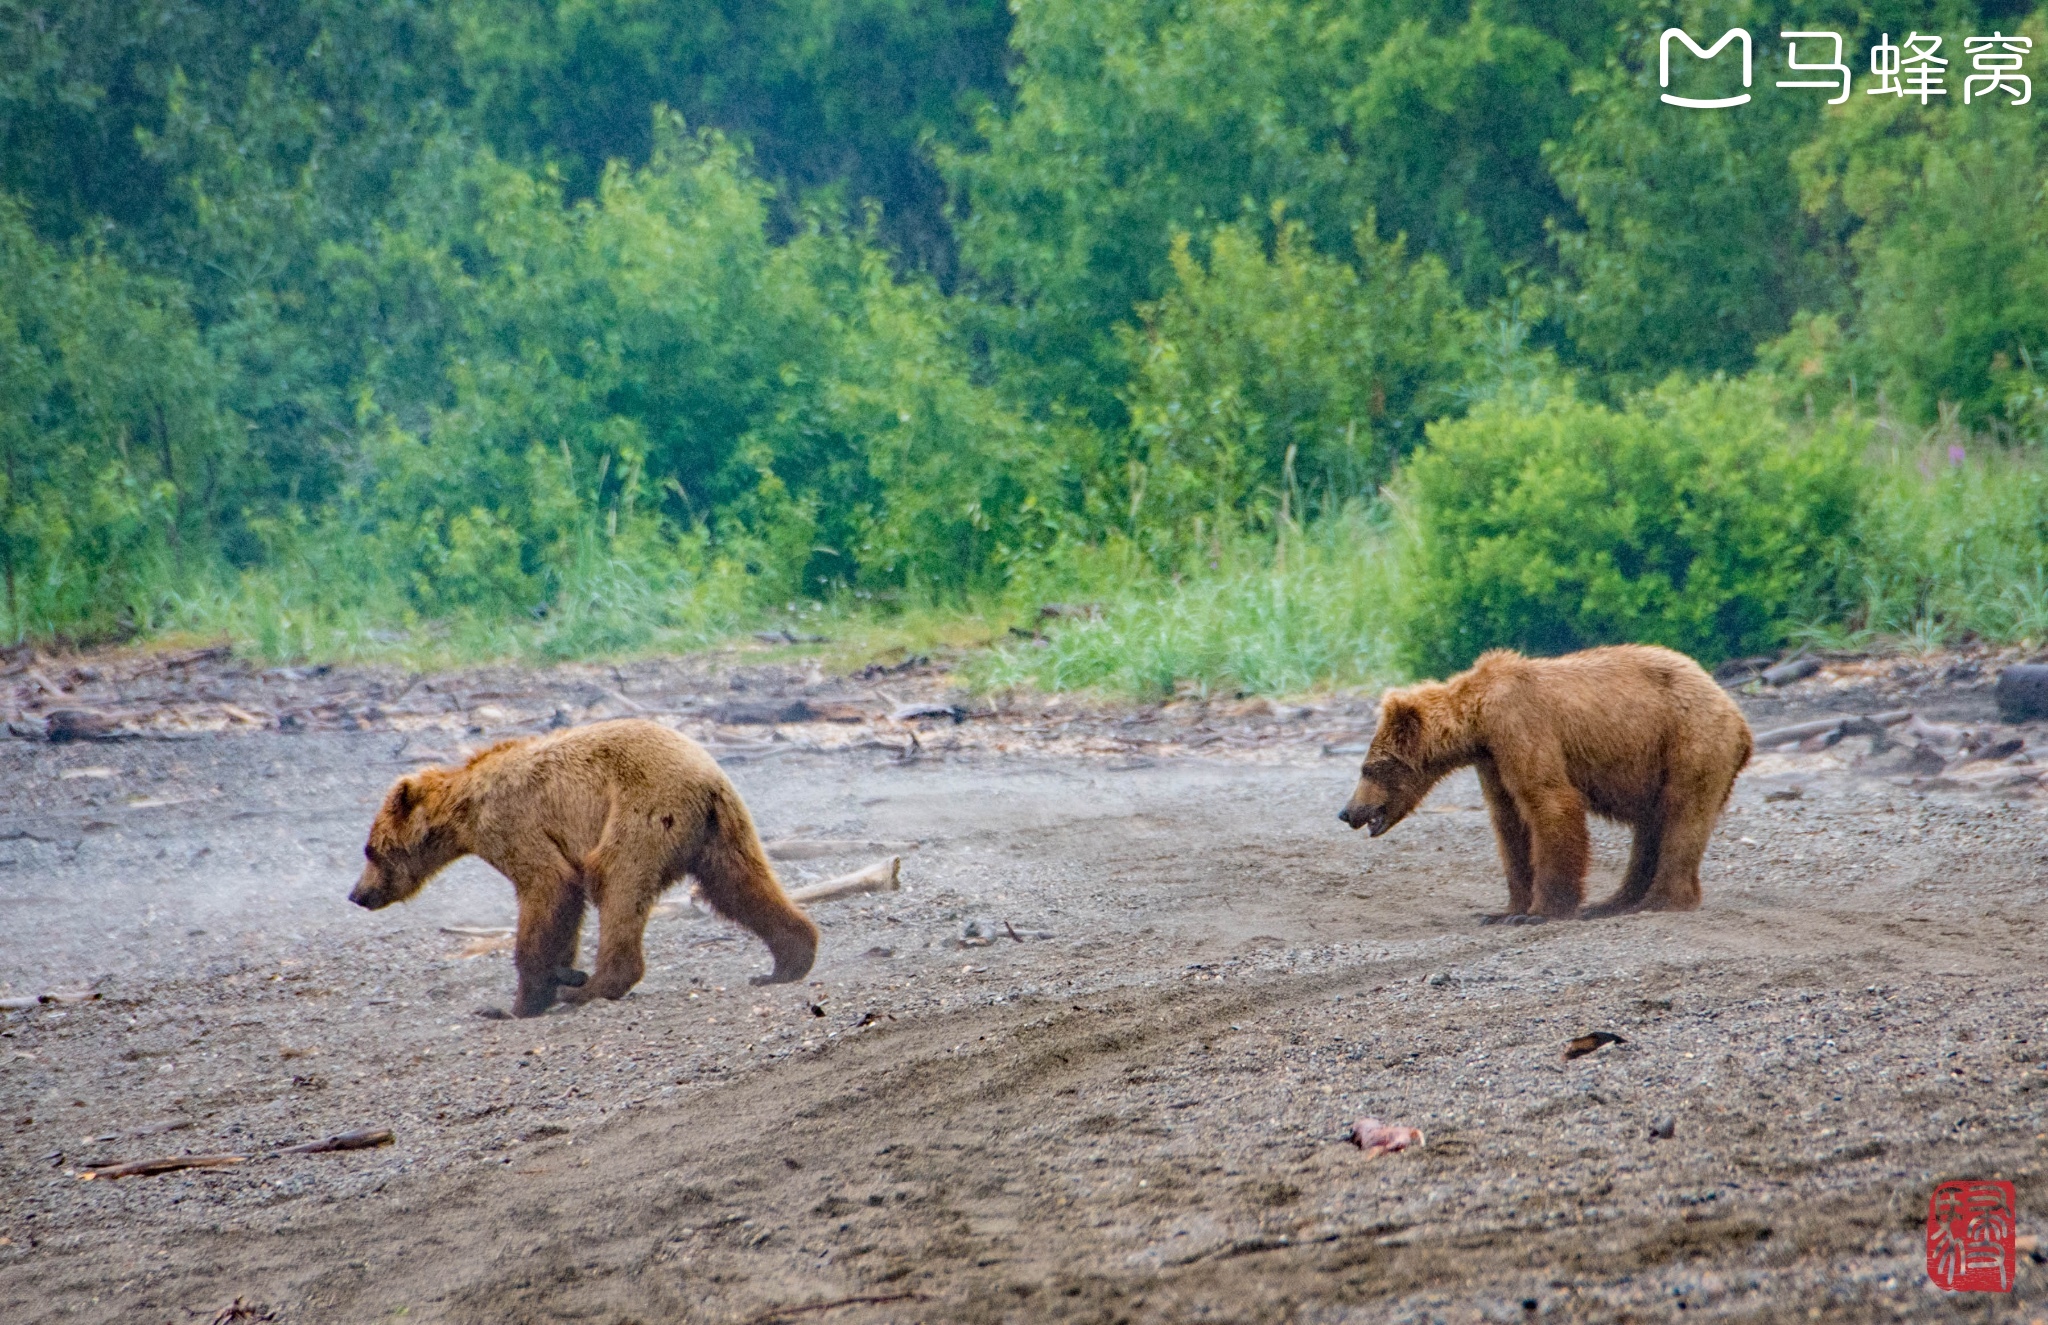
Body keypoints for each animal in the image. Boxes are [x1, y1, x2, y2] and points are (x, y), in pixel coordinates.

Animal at [356, 720, 819, 1019]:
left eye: (370, 849)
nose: (357, 894)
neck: (464, 813)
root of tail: (706, 776)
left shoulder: (514, 825)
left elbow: (548, 886)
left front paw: (518, 1003)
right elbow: (565, 905)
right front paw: (557, 973)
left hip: (643, 810)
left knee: (617, 881)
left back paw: (592, 987)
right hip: (721, 829)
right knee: (738, 885)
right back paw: (786, 963)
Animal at [1335, 647, 1753, 921]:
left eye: (1369, 768)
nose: (1347, 811)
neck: (1477, 722)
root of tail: (1738, 715)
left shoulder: (1520, 727)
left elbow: (1549, 803)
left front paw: (1542, 910)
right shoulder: (1493, 760)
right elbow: (1509, 823)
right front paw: (1505, 910)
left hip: (1690, 738)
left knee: (1682, 814)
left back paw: (1660, 900)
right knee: (1650, 827)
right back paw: (1615, 901)